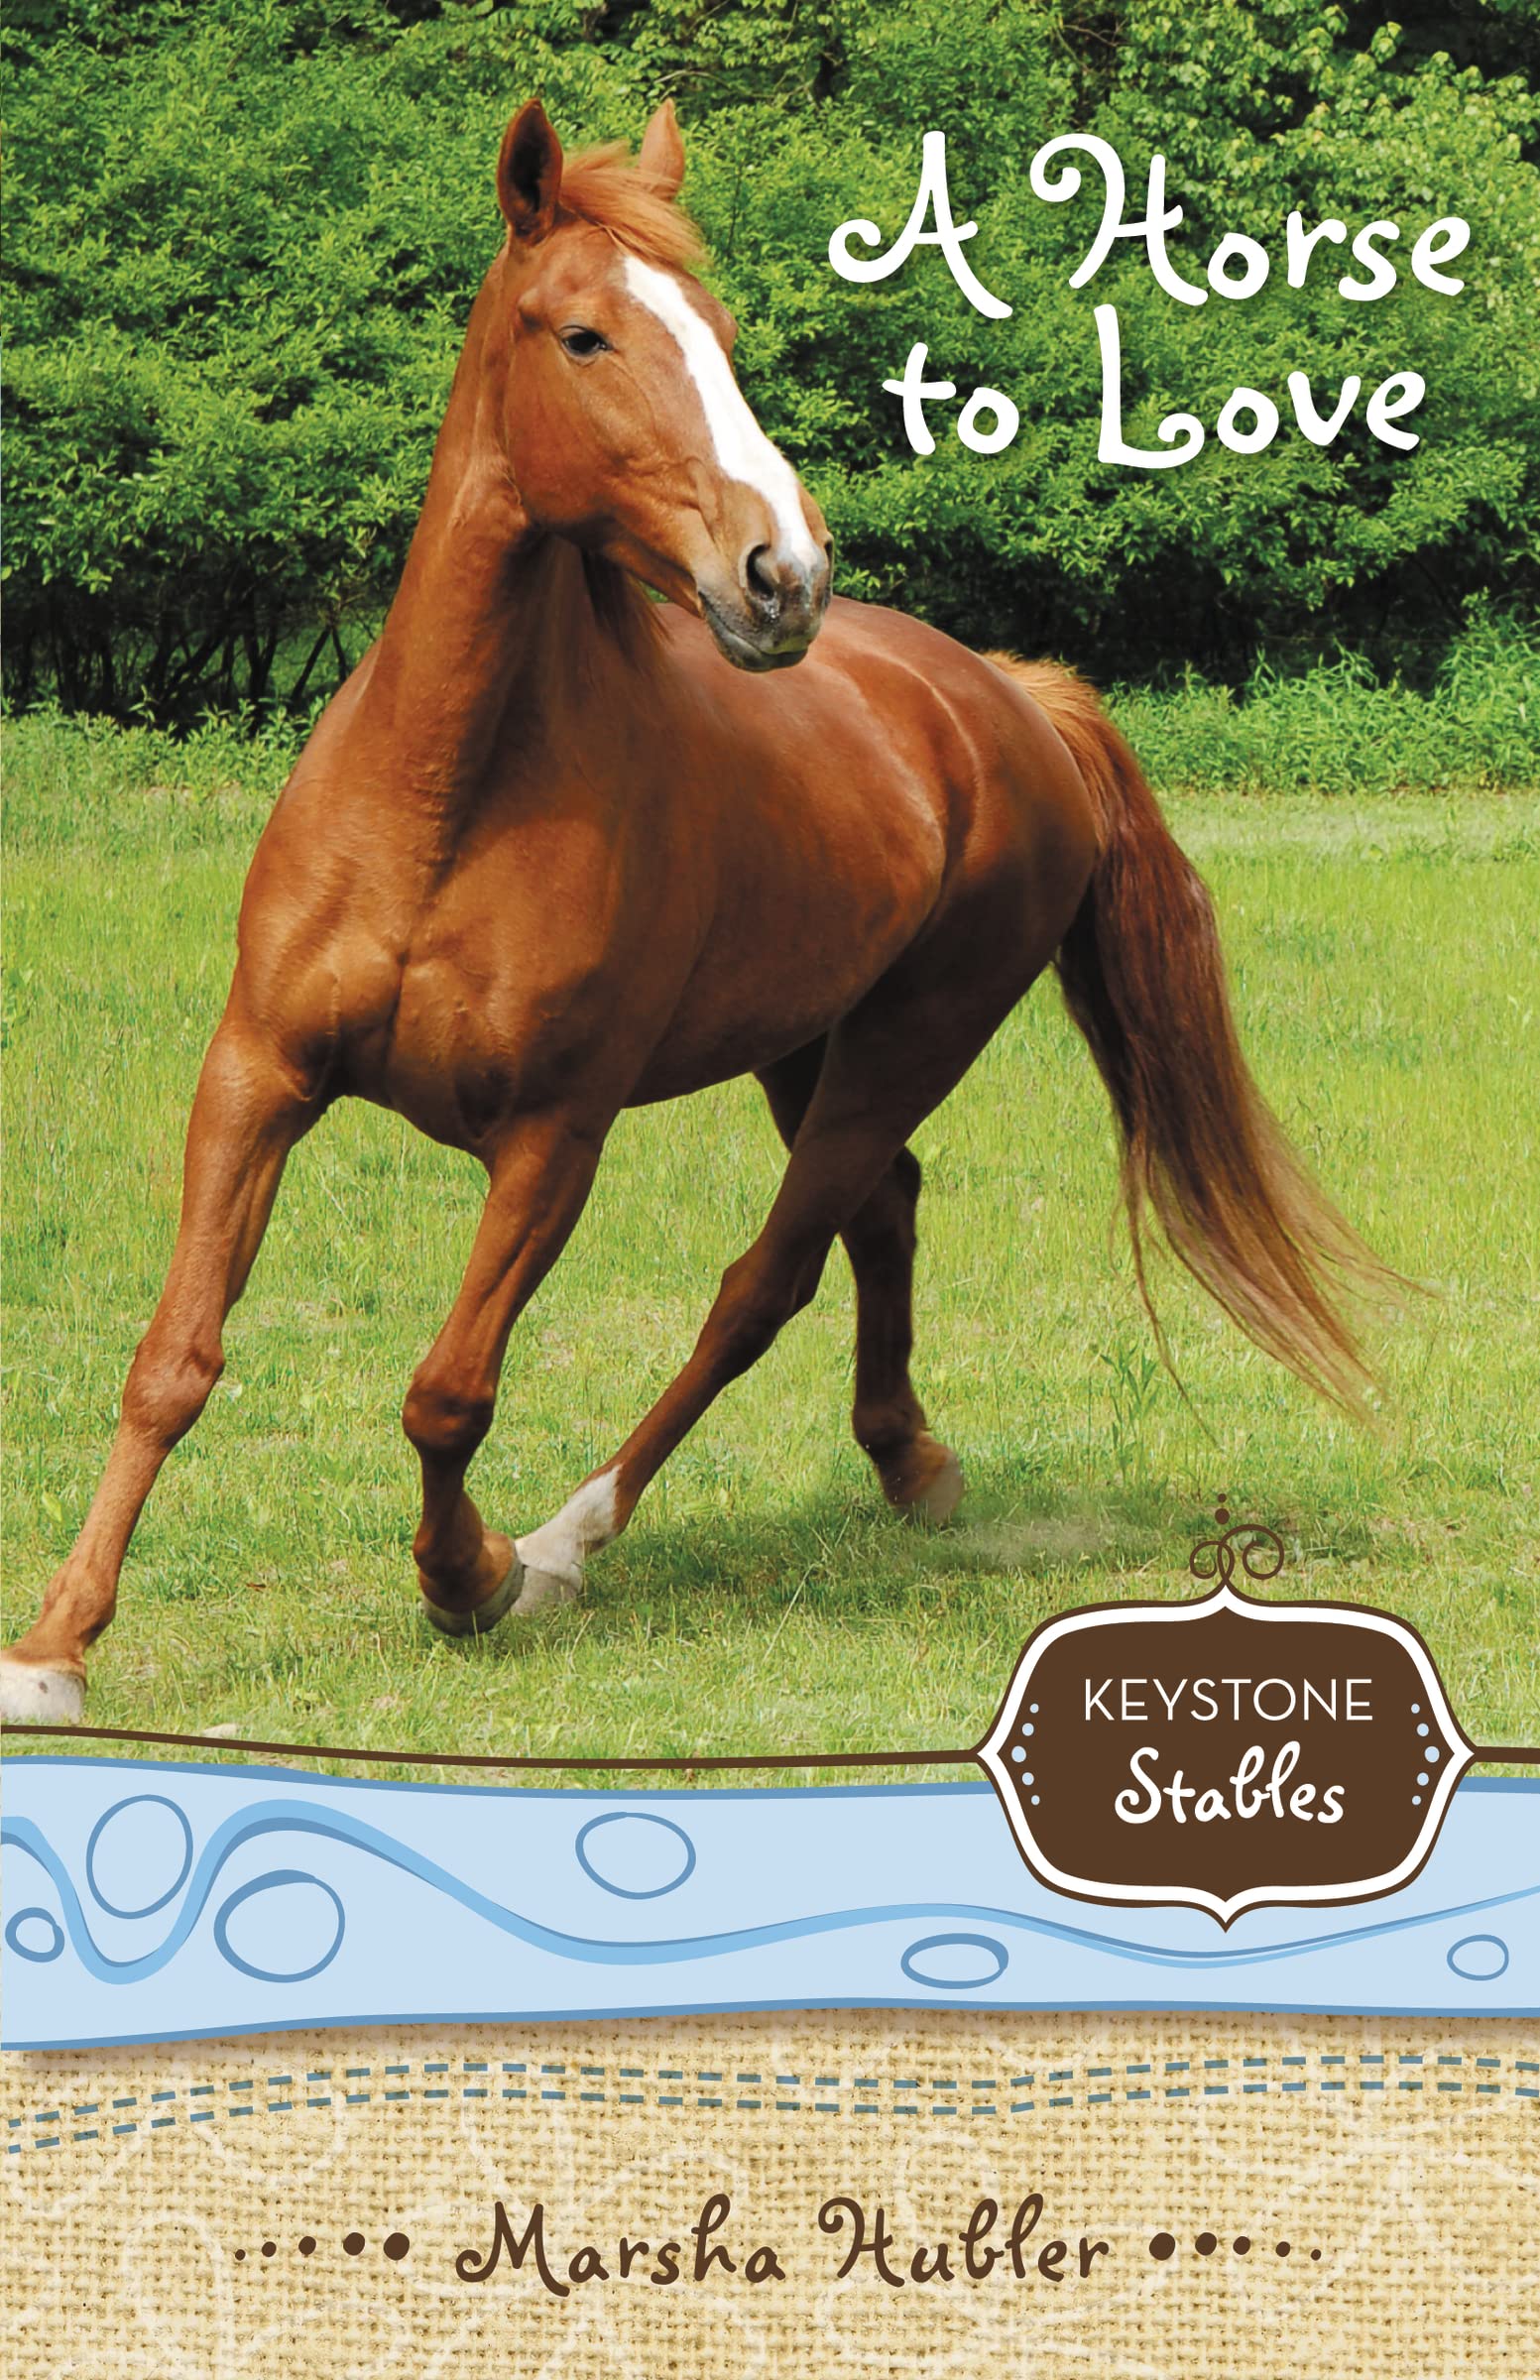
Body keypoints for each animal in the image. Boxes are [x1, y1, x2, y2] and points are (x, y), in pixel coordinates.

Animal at [0, 99, 1386, 1723]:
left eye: (721, 336)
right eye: (584, 334)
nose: (782, 577)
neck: (446, 800)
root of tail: (1005, 697)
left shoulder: (554, 1139)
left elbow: (447, 1389)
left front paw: (468, 1577)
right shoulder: (256, 1077)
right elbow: (176, 1357)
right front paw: (55, 1647)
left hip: (910, 1039)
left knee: (764, 1281)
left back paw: (571, 1539)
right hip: (808, 1046)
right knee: (881, 1212)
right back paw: (905, 1461)